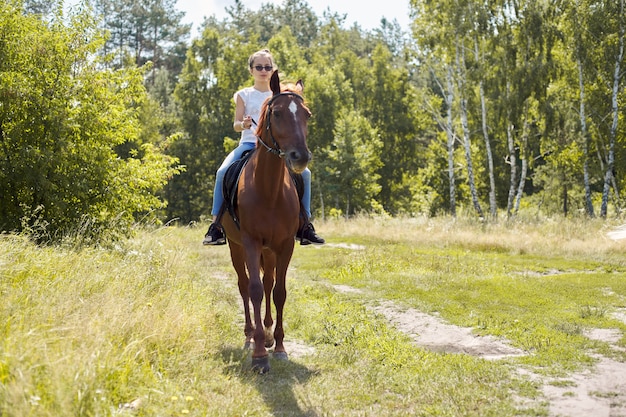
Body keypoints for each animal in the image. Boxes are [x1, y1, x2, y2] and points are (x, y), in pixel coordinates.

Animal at [221, 70, 312, 372]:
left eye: (307, 115)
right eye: (278, 113)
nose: (300, 156)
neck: (269, 189)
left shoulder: (285, 245)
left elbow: (279, 291)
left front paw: (279, 345)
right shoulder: (249, 242)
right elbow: (255, 290)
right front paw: (259, 354)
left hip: (269, 251)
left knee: (270, 281)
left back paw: (270, 333)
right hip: (236, 247)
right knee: (244, 285)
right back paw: (250, 335)